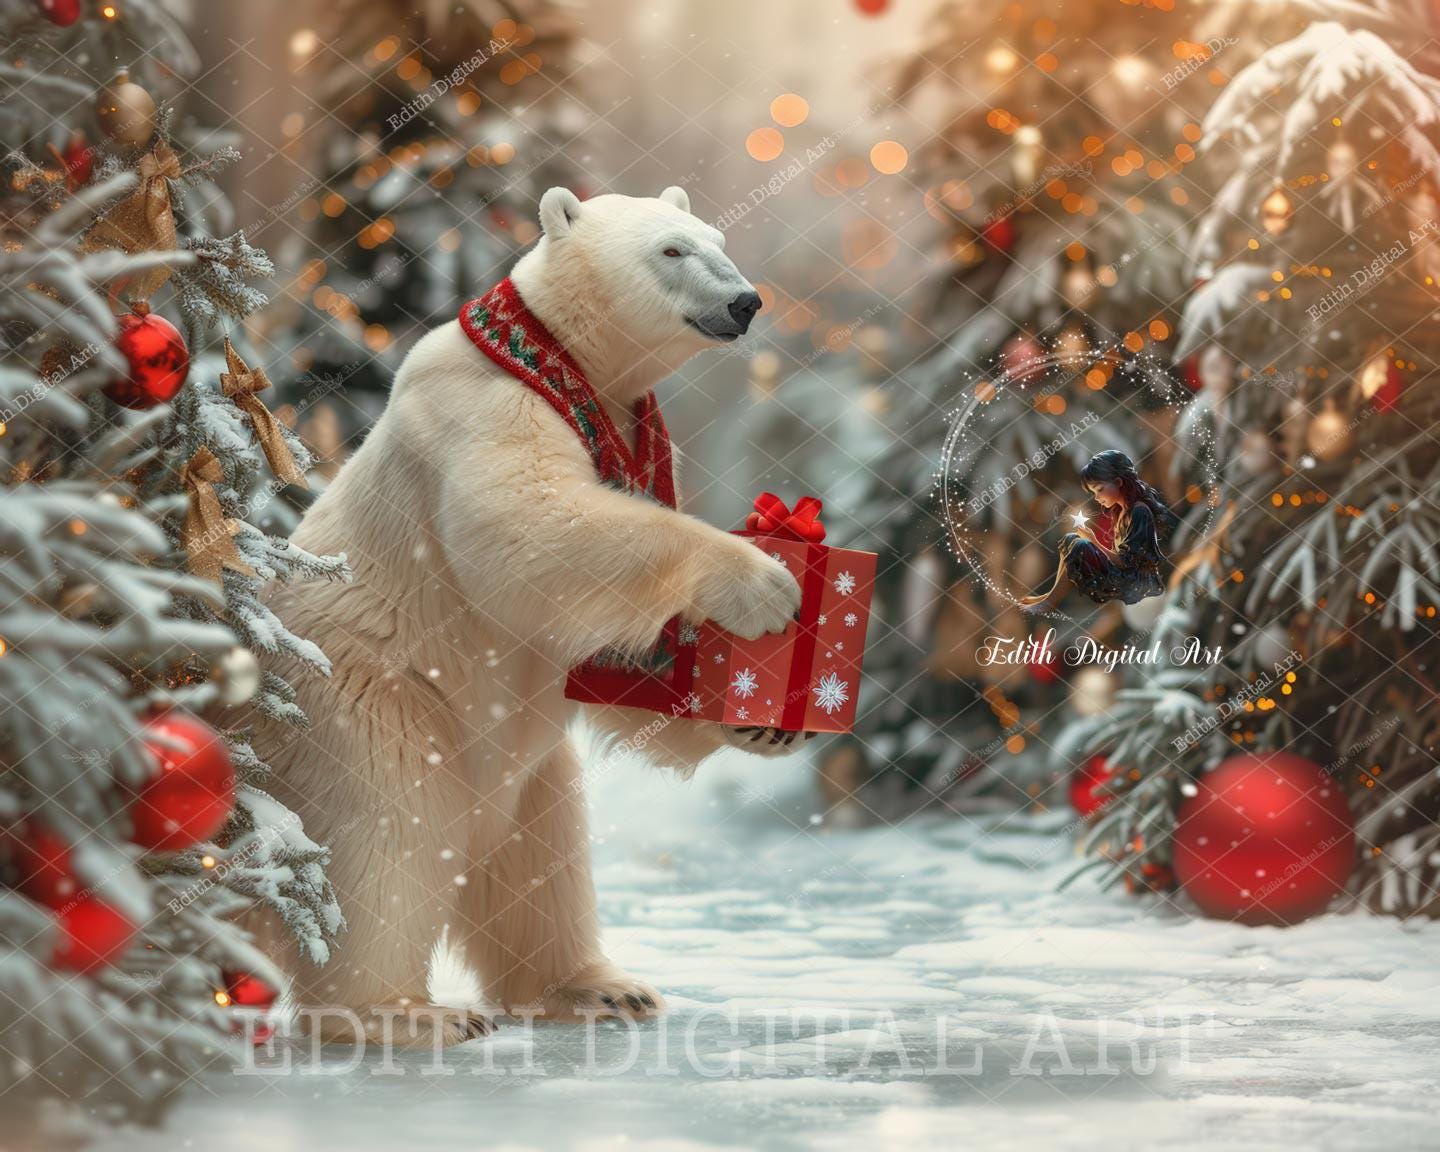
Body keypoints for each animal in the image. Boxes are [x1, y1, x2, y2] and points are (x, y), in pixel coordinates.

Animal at [251, 185, 805, 1047]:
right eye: (672, 250)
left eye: (719, 239)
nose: (745, 300)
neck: (554, 359)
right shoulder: (482, 408)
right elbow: (529, 528)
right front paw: (762, 584)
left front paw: (759, 720)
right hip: (369, 697)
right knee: (386, 830)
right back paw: (400, 1012)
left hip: (527, 769)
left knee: (543, 855)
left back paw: (600, 990)